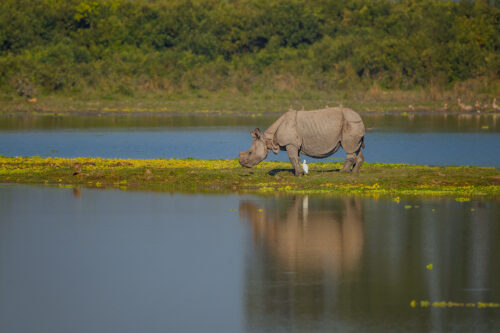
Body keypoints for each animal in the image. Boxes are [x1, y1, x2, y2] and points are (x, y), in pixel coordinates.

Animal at [236, 107, 366, 175]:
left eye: (250, 153)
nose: (242, 164)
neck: (268, 139)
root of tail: (360, 117)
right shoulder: (295, 143)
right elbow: (296, 158)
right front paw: (299, 172)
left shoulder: (290, 143)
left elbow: (292, 158)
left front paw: (298, 174)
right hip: (353, 123)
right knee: (356, 147)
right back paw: (354, 172)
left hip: (350, 123)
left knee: (349, 147)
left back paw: (342, 172)